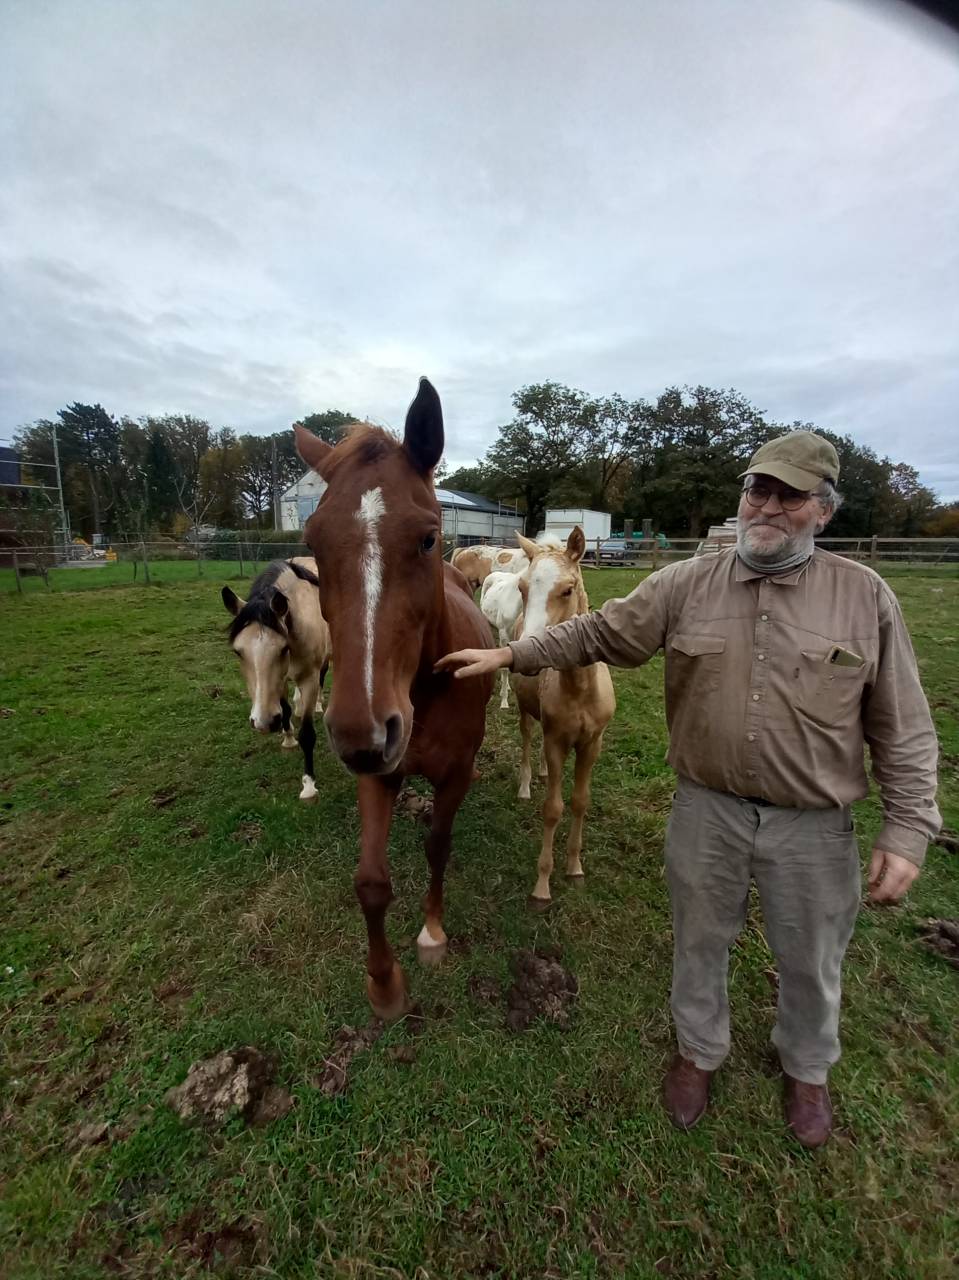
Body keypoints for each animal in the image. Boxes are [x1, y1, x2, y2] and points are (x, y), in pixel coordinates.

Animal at [221, 558, 331, 802]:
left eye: (282, 648)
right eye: (237, 652)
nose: (263, 723)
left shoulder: (309, 677)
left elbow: (307, 733)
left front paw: (309, 786)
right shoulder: (278, 681)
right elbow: (286, 709)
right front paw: (288, 738)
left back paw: (317, 705)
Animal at [294, 379, 494, 1019]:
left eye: (428, 537)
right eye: (312, 543)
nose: (363, 732)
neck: (423, 691)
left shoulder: (454, 775)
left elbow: (438, 846)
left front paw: (431, 934)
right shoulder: (376, 772)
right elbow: (370, 881)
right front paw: (384, 983)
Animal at [511, 528, 616, 907]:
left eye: (567, 590)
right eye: (523, 588)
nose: (527, 653)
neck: (580, 689)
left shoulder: (592, 744)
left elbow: (580, 802)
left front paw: (574, 869)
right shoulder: (557, 740)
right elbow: (553, 808)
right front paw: (542, 886)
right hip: (525, 711)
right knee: (529, 737)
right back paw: (527, 783)